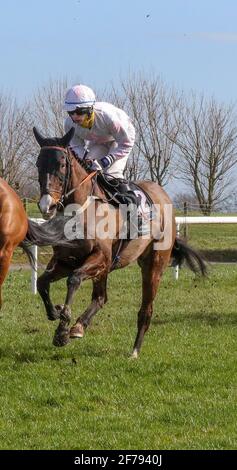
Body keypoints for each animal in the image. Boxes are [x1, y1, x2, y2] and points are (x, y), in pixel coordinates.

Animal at [26, 127, 206, 356]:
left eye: (62, 164)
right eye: (38, 163)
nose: (46, 205)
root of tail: (163, 195)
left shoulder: (100, 258)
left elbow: (73, 280)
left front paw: (62, 327)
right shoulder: (66, 261)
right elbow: (42, 282)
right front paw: (56, 313)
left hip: (153, 265)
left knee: (146, 308)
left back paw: (134, 350)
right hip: (107, 269)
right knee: (101, 297)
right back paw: (80, 326)